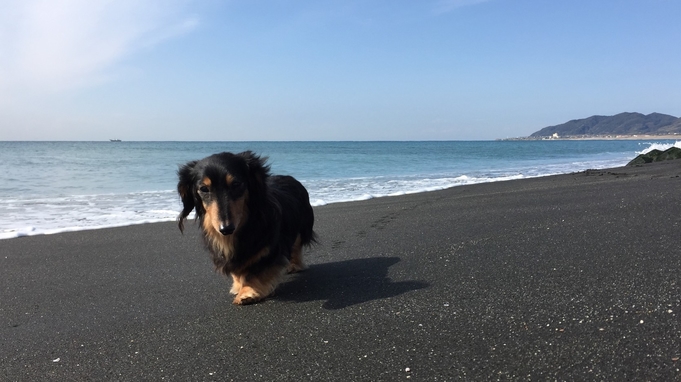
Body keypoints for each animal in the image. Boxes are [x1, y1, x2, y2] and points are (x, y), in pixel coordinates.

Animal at [175, 151, 314, 304]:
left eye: (236, 184)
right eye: (204, 189)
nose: (226, 229)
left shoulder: (268, 248)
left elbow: (255, 271)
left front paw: (248, 292)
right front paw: (238, 285)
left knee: (296, 246)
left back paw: (295, 265)